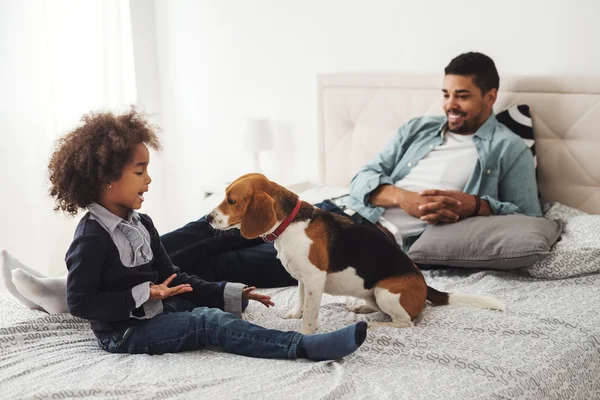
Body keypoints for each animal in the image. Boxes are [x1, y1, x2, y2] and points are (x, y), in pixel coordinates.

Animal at [209, 173, 504, 332]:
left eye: (232, 201)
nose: (208, 218)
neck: (289, 223)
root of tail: (424, 285)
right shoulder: (303, 279)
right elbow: (301, 300)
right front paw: (295, 315)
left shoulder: (314, 279)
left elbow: (311, 314)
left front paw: (305, 333)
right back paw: (363, 308)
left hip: (386, 291)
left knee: (405, 323)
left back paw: (374, 326)